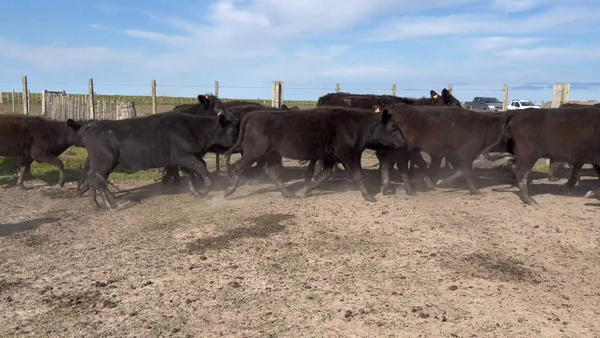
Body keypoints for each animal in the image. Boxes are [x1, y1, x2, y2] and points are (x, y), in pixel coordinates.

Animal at [71, 110, 238, 209]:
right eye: (231, 131)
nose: (237, 145)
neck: (193, 129)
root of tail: (91, 127)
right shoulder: (184, 156)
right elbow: (201, 169)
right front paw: (205, 190)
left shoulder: (185, 159)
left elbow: (190, 173)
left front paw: (195, 192)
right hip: (104, 164)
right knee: (98, 182)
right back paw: (113, 205)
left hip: (101, 165)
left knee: (93, 181)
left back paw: (96, 204)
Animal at [223, 107, 406, 202]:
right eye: (393, 126)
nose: (404, 143)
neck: (358, 126)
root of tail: (253, 114)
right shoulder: (347, 155)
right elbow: (358, 175)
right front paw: (368, 196)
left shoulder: (330, 158)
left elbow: (321, 177)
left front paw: (302, 191)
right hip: (254, 152)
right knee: (237, 167)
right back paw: (228, 191)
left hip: (273, 154)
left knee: (272, 172)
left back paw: (289, 193)